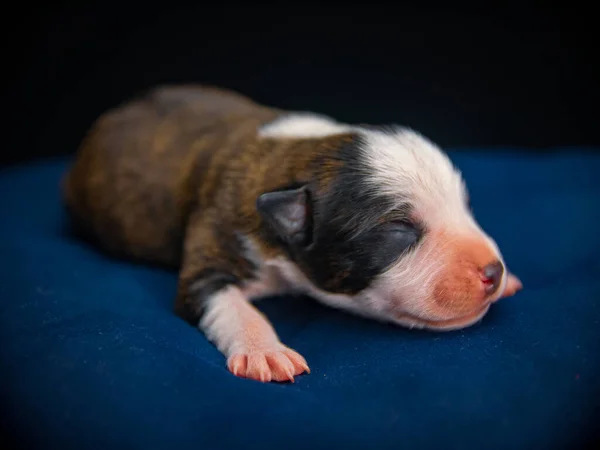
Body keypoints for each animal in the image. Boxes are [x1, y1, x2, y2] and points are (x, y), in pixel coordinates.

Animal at [61, 85, 520, 384]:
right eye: (398, 230)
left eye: (465, 206)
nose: (493, 272)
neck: (298, 155)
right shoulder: (215, 235)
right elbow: (227, 302)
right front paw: (264, 352)